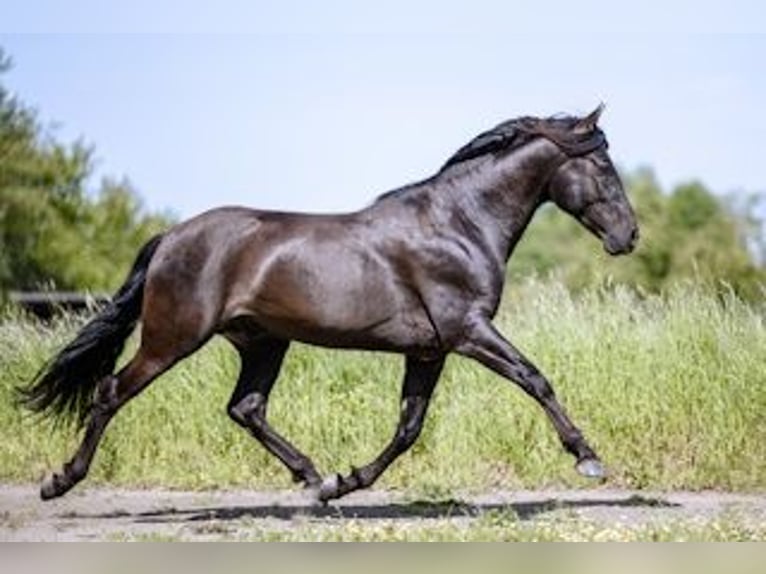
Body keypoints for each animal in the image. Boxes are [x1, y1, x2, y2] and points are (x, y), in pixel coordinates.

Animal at [19, 106, 640, 502]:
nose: (629, 236)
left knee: (246, 408)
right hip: (172, 337)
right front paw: (587, 457)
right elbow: (535, 379)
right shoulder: (468, 331)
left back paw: (313, 477)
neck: (458, 224)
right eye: (602, 166)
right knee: (111, 392)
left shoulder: (430, 350)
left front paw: (346, 483)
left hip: (263, 341)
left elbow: (408, 427)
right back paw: (60, 481)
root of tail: (170, 237)